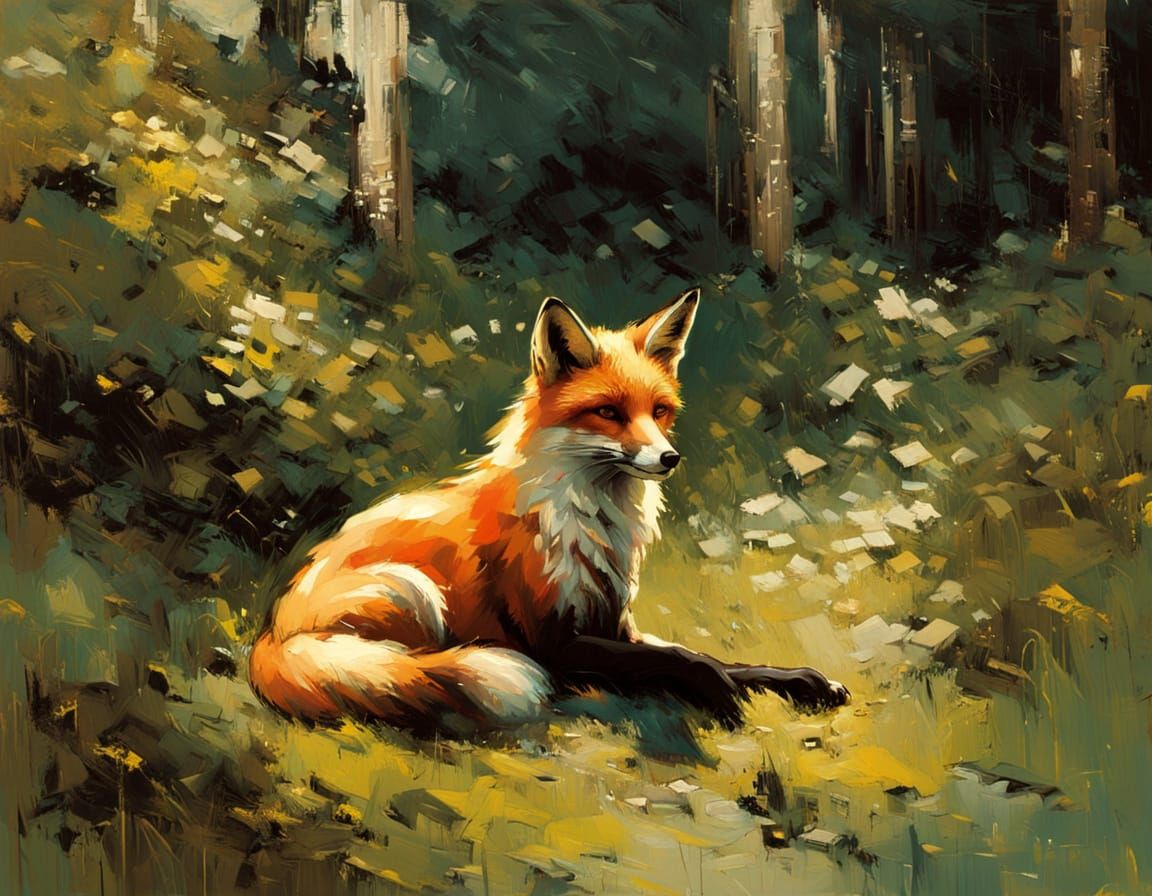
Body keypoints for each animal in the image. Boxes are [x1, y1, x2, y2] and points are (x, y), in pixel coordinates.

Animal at [249, 290, 849, 736]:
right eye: (608, 412)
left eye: (659, 411)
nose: (669, 458)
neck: (594, 520)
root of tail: (270, 634)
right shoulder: (553, 642)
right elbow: (684, 660)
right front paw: (719, 694)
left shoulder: (617, 622)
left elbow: (719, 658)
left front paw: (802, 682)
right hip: (413, 590)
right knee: (411, 673)